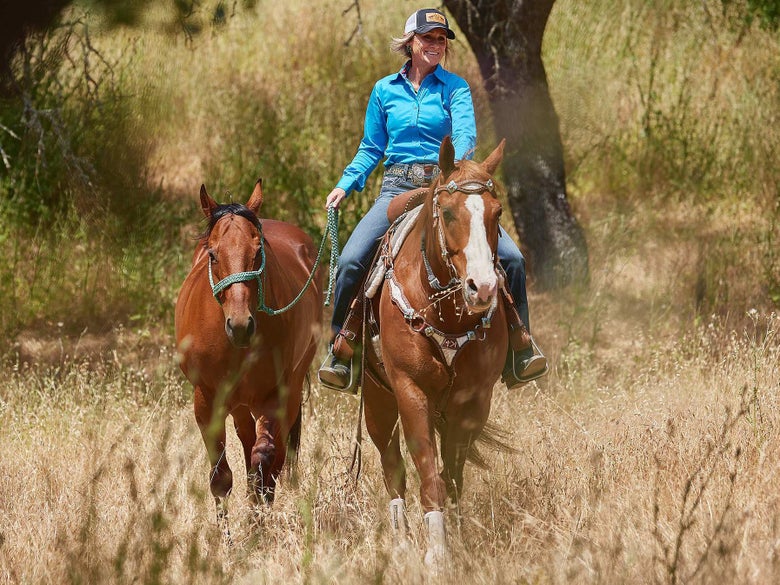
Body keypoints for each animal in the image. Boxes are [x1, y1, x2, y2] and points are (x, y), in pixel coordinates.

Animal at [175, 179, 322, 533]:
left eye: (258, 252)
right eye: (213, 254)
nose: (240, 325)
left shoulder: (275, 395)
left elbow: (263, 463)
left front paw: (258, 525)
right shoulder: (206, 401)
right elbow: (220, 477)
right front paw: (226, 538)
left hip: (289, 388)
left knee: (274, 455)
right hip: (240, 404)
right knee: (245, 440)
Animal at [361, 137, 509, 567]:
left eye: (497, 213)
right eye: (447, 212)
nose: (483, 288)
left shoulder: (473, 399)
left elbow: (452, 474)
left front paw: (456, 540)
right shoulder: (411, 391)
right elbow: (428, 472)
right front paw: (437, 553)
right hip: (377, 398)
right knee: (392, 466)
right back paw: (400, 541)